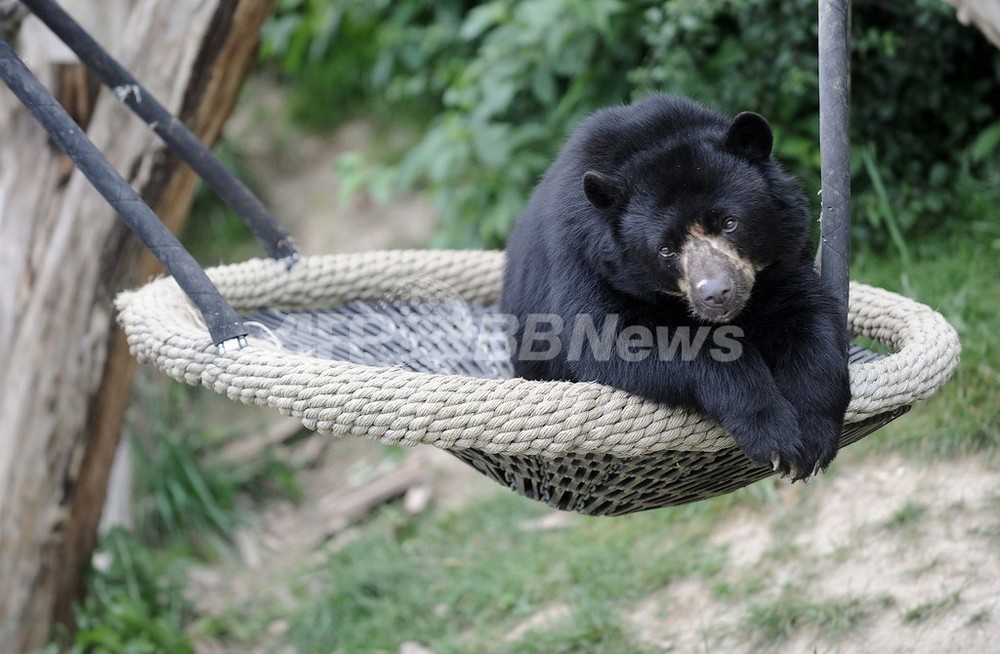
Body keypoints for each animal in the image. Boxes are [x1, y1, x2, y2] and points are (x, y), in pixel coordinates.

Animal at [504, 93, 848, 482]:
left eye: (730, 223)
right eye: (665, 249)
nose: (717, 293)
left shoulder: (783, 256)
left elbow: (807, 318)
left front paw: (813, 439)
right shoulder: (584, 262)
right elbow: (616, 340)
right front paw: (774, 437)